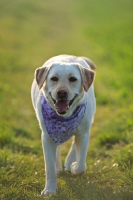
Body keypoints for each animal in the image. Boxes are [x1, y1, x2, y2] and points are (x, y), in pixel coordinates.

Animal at [30, 54, 95, 195]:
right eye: (54, 78)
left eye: (73, 79)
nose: (62, 92)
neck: (65, 117)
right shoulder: (47, 137)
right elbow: (49, 167)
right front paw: (49, 190)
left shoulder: (84, 132)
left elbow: (81, 165)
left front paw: (74, 166)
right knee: (58, 148)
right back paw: (58, 166)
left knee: (74, 144)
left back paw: (70, 161)